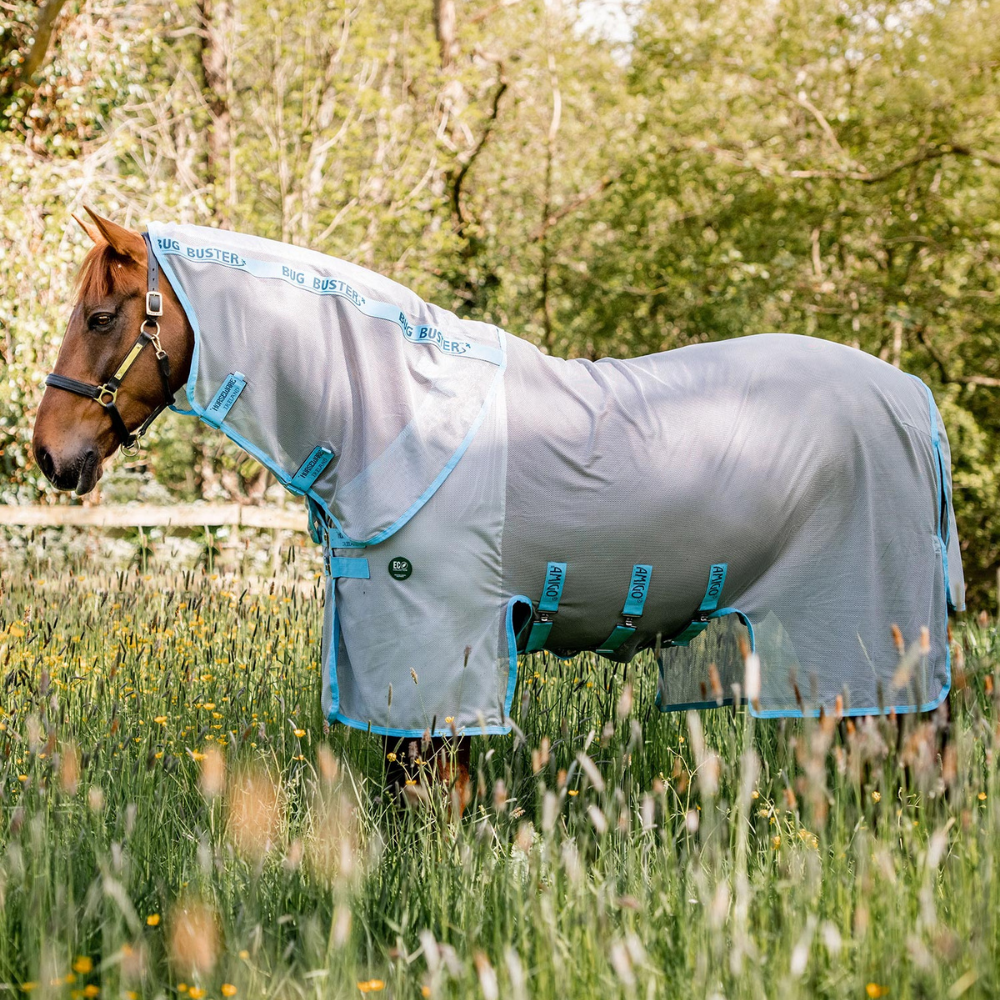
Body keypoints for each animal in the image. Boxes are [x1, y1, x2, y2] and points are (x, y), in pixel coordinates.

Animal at [33, 209, 968, 804]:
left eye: (102, 315)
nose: (49, 453)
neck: (397, 410)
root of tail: (912, 397)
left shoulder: (438, 652)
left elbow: (427, 794)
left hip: (861, 640)